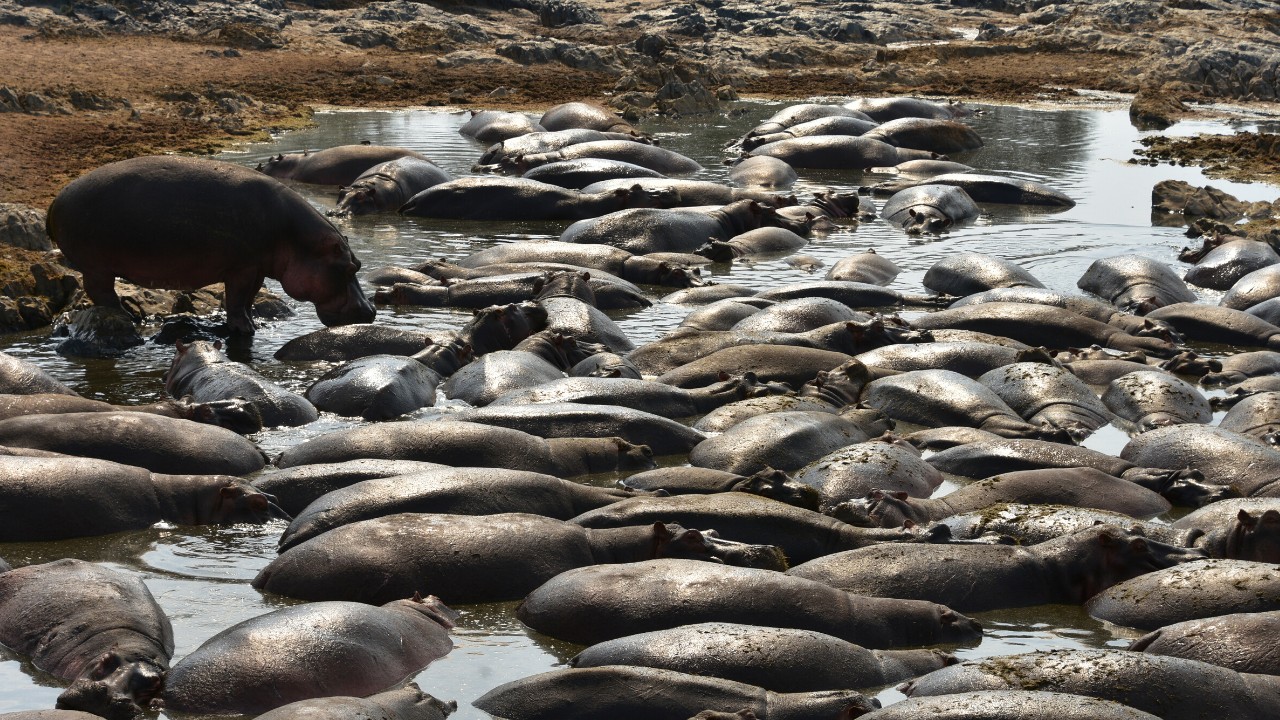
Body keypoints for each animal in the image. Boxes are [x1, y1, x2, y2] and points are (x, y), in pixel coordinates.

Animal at [46, 156, 375, 334]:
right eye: (349, 269)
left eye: (359, 265)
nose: (371, 311)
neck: (297, 239)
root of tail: (57, 199)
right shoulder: (242, 268)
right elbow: (238, 298)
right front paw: (245, 328)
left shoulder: (256, 268)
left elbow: (247, 299)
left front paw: (250, 323)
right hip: (97, 266)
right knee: (100, 292)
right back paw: (128, 317)